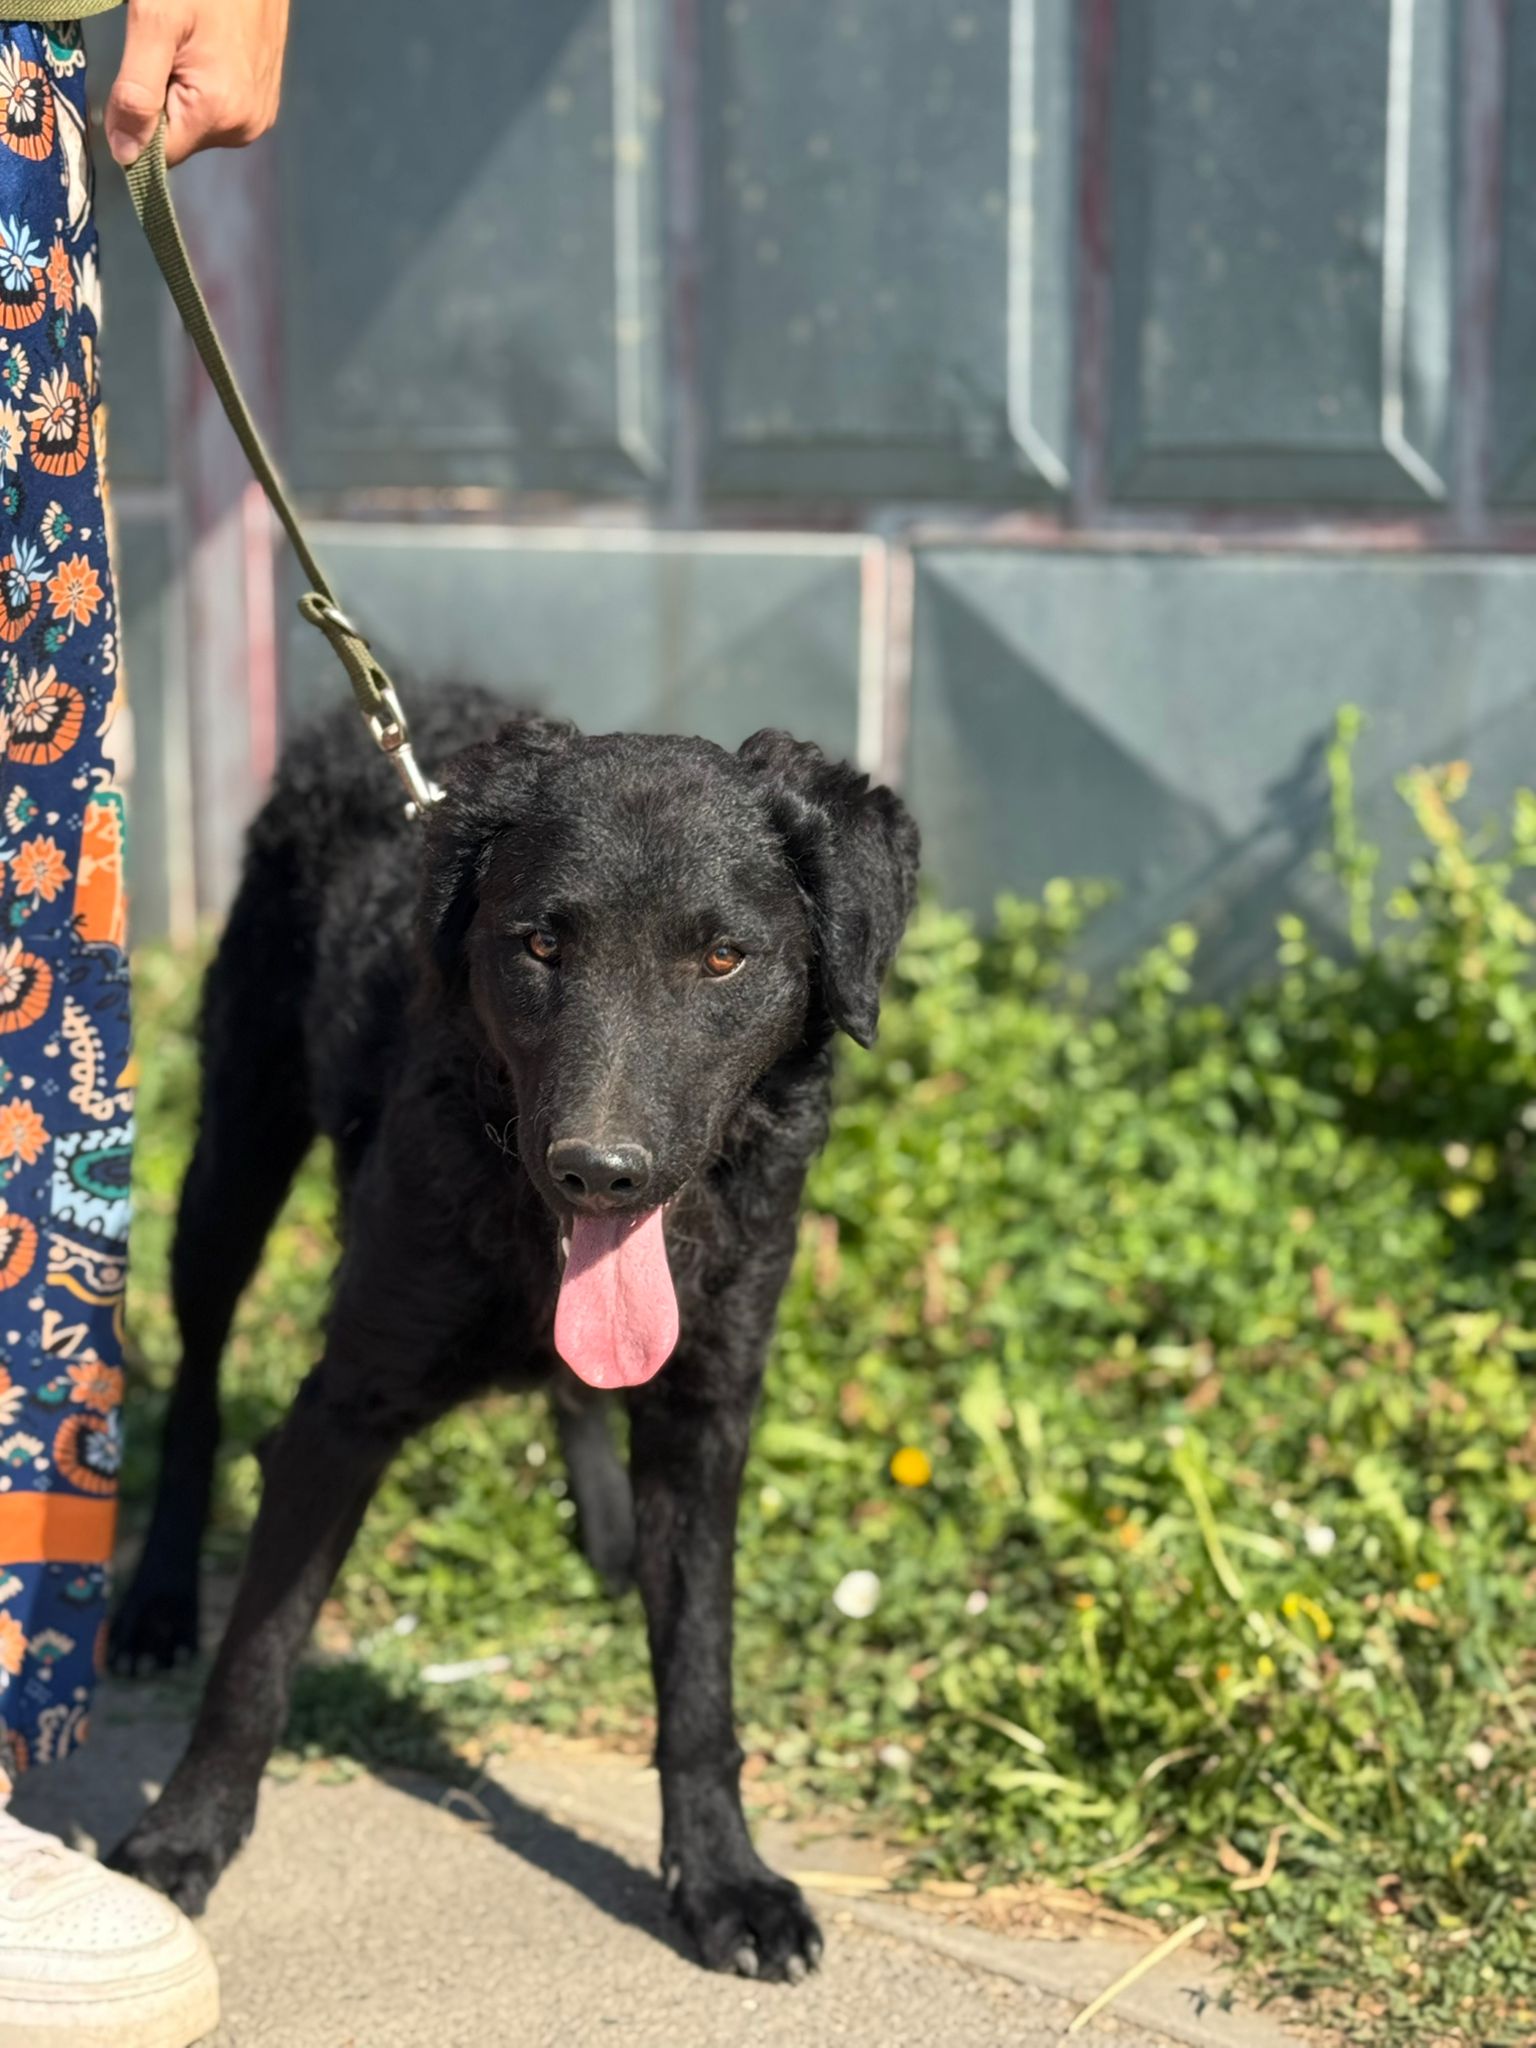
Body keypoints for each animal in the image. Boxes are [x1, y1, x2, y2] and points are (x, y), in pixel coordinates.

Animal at [107, 685, 919, 1982]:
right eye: (540, 944)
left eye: (723, 955)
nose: (599, 1170)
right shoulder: (346, 1402)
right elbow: (256, 1659)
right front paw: (187, 1833)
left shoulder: (707, 1411)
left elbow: (701, 1681)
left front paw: (724, 1878)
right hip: (231, 1151)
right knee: (193, 1390)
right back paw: (156, 1602)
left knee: (574, 1389)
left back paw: (609, 1533)